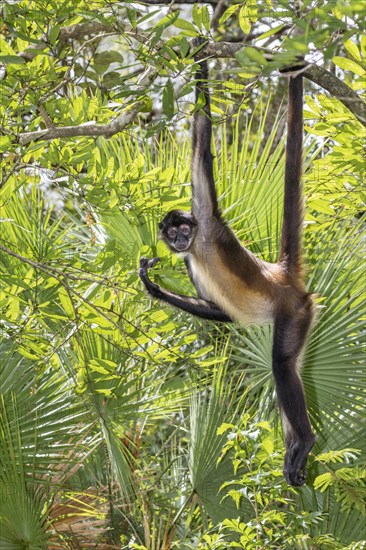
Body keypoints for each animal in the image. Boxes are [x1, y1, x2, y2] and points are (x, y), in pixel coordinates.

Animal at [139, 40, 316, 488]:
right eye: (171, 233)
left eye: (183, 227)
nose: (179, 239)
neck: (197, 246)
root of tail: (281, 275)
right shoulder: (187, 260)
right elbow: (221, 312)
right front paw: (153, 287)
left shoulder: (207, 219)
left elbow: (202, 147)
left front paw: (199, 55)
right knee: (292, 369)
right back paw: (296, 447)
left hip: (295, 310)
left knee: (281, 365)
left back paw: (305, 440)